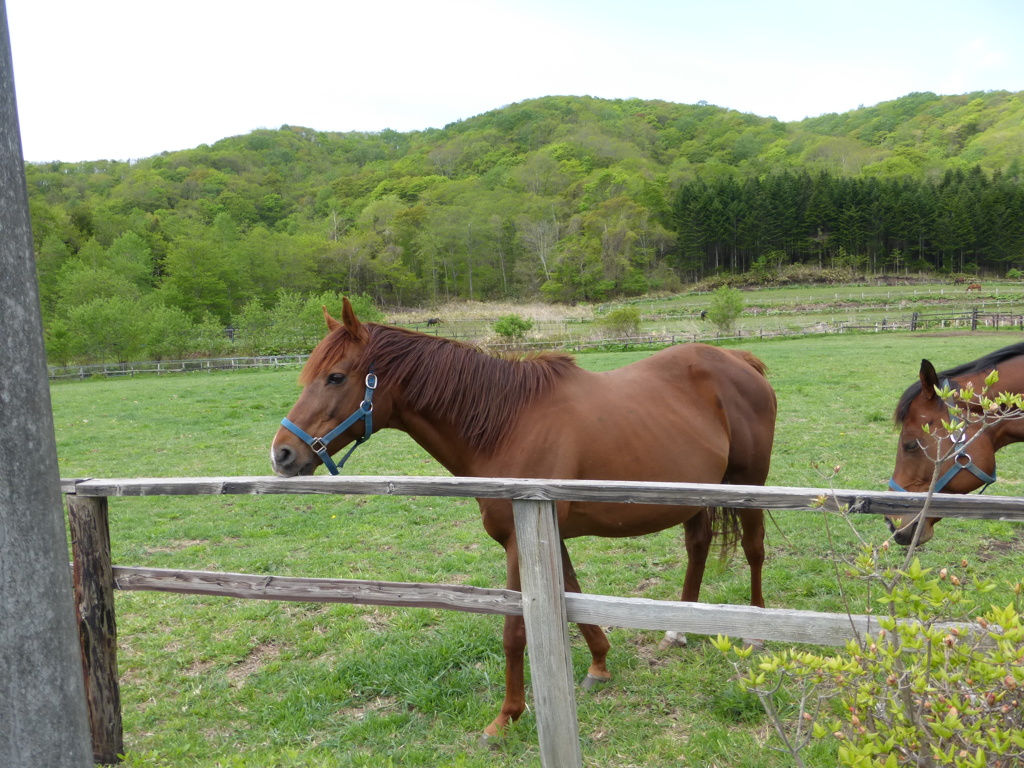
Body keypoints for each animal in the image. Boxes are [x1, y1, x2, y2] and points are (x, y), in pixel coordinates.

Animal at [272, 299, 774, 741]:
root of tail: (740, 359)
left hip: (749, 484)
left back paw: (757, 634)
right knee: (698, 545)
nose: (282, 454)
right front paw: (599, 664)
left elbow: (516, 632)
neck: (507, 424)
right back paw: (678, 631)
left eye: (336, 376)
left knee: (754, 549)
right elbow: (570, 593)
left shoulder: (519, 539)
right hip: (696, 496)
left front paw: (505, 718)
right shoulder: (545, 530)